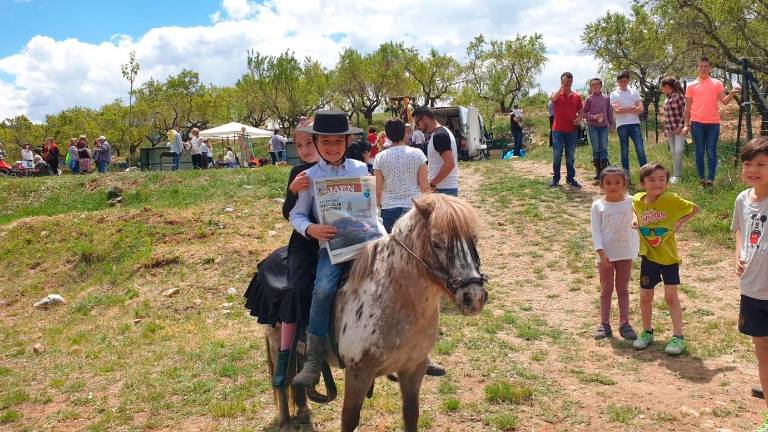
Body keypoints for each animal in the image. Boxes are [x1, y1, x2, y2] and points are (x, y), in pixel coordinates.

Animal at [268, 194, 488, 430]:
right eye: (437, 243)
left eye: (474, 239)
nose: (474, 297)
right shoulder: (358, 374)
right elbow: (349, 420)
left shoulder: (414, 369)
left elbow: (411, 415)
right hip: (276, 342)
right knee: (282, 380)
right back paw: (285, 420)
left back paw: (302, 410)